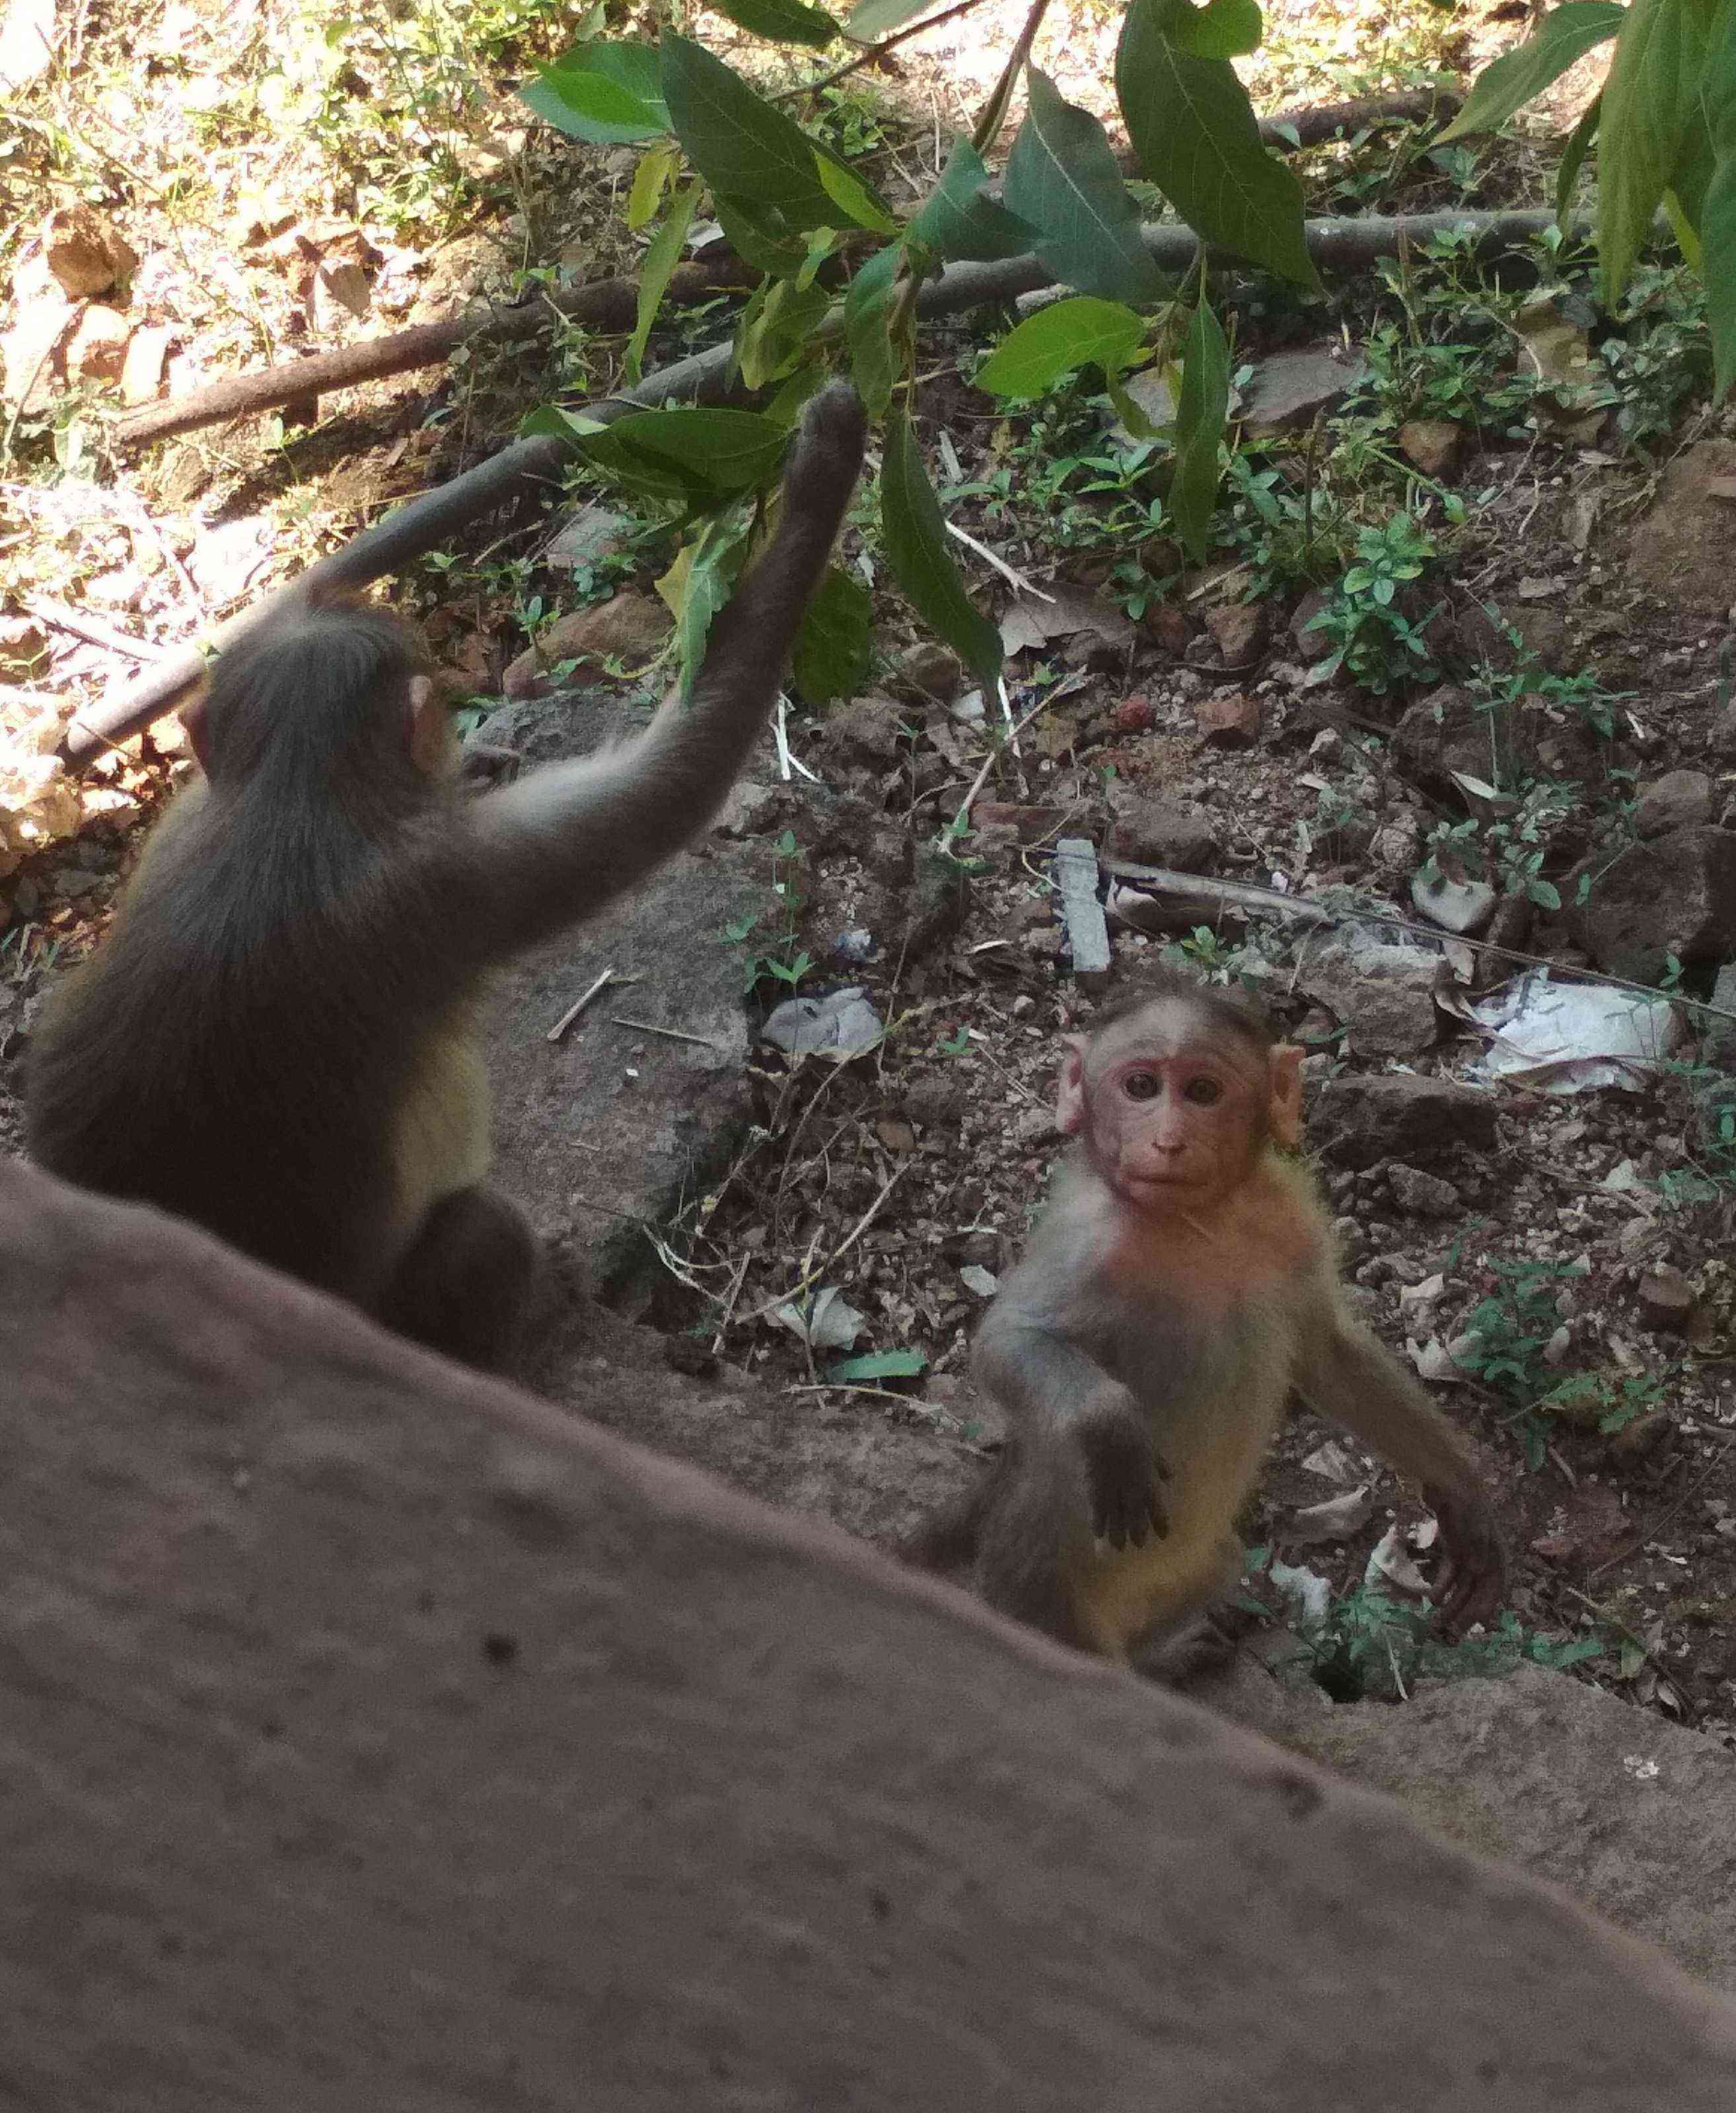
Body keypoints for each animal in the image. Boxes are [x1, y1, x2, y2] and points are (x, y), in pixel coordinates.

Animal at [26, 381, 868, 1371]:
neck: (287, 795)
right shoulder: (456, 883)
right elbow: (670, 783)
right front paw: (822, 472)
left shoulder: (179, 819)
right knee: (486, 1238)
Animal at [908, 968, 1506, 1667]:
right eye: (1140, 1087)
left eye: (1202, 1092)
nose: (1168, 1140)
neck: (1200, 1223)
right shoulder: (1090, 1237)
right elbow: (1007, 1341)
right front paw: (1108, 1424)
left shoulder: (1290, 1217)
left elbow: (1327, 1350)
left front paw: (1461, 1494)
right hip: (1034, 1588)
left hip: (1180, 1572)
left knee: (1214, 1568)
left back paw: (1162, 1658)